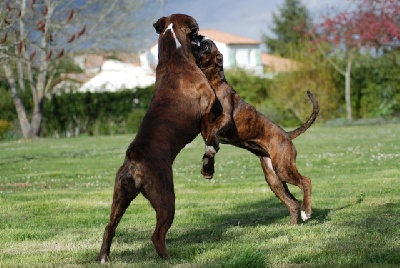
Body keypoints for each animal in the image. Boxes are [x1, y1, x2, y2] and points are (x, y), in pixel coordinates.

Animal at [98, 14, 220, 262]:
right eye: (196, 32)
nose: (203, 36)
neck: (174, 56)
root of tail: (134, 159)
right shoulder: (208, 103)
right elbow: (210, 128)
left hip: (121, 197)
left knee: (109, 227)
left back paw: (104, 257)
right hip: (166, 199)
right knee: (157, 235)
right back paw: (169, 258)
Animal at [193, 37, 318, 225]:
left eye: (206, 45)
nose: (197, 39)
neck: (212, 80)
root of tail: (286, 135)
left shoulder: (225, 119)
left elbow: (213, 135)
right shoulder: (204, 128)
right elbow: (209, 145)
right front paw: (208, 169)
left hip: (283, 169)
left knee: (306, 182)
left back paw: (307, 212)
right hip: (273, 178)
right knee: (293, 203)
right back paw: (293, 225)